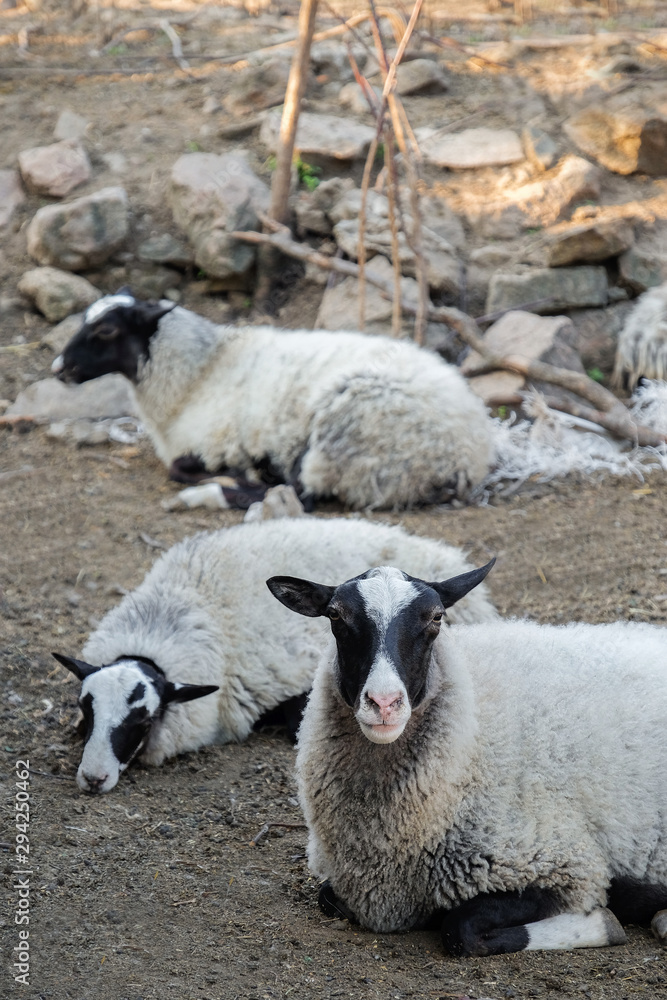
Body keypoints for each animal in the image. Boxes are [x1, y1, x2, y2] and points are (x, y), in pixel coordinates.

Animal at [49, 290, 494, 508]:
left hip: (348, 434)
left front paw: (231, 476)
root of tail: (468, 458)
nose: (58, 369)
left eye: (106, 330)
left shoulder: (214, 444)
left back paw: (211, 493)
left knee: (304, 496)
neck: (199, 373)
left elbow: (179, 469)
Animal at [268, 560, 667, 956]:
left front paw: (604, 922)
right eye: (335, 615)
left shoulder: (562, 863)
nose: (384, 703)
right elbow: (326, 897)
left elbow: (460, 929)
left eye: (436, 617)